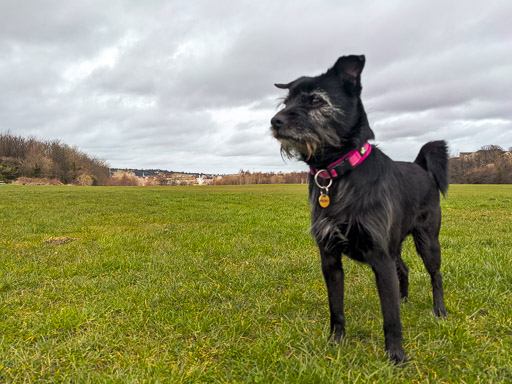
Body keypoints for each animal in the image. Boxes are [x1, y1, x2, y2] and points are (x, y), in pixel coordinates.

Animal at [272, 54, 448, 364]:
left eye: (316, 100)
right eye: (286, 101)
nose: (275, 121)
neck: (337, 173)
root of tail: (420, 167)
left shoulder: (380, 257)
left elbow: (391, 317)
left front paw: (396, 357)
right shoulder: (330, 258)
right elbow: (336, 309)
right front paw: (336, 343)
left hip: (428, 241)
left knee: (435, 275)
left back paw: (439, 310)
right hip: (395, 244)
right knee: (403, 268)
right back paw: (404, 298)